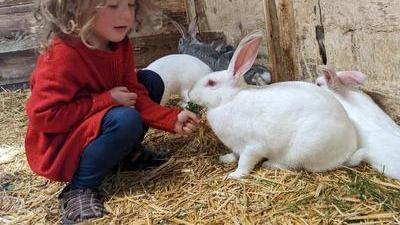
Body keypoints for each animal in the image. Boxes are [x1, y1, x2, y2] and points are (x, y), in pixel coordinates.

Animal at [188, 30, 360, 178]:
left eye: (211, 83)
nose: (190, 93)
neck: (230, 99)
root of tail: (350, 146)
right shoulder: (237, 146)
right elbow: (235, 155)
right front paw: (225, 158)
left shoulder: (251, 147)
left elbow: (245, 163)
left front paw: (234, 175)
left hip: (302, 150)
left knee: (291, 164)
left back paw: (269, 164)